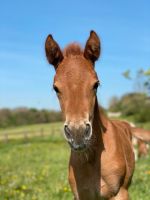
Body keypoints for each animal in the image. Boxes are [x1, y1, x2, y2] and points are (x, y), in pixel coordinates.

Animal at [44, 30, 135, 199]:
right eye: (55, 88)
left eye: (96, 84)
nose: (77, 133)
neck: (92, 160)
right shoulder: (81, 195)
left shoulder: (119, 193)